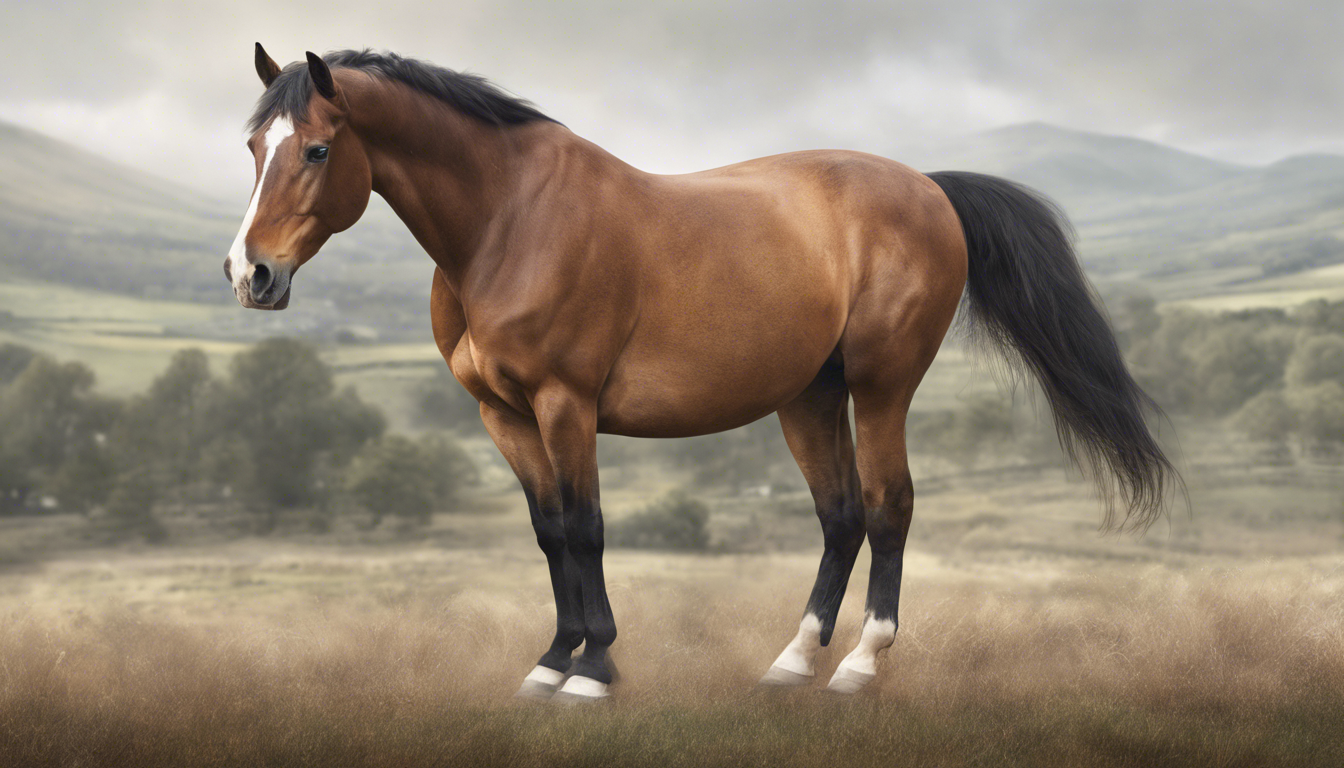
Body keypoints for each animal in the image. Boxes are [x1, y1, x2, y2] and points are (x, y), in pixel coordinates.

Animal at [226, 45, 1178, 702]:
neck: (508, 222)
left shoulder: (566, 406)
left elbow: (586, 528)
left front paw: (594, 669)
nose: (250, 275)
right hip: (810, 396)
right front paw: (550, 662)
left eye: (316, 151)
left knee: (888, 507)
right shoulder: (503, 415)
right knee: (840, 517)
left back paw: (859, 667)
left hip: (882, 388)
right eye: (252, 147)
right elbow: (548, 532)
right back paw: (790, 663)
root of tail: (929, 187)